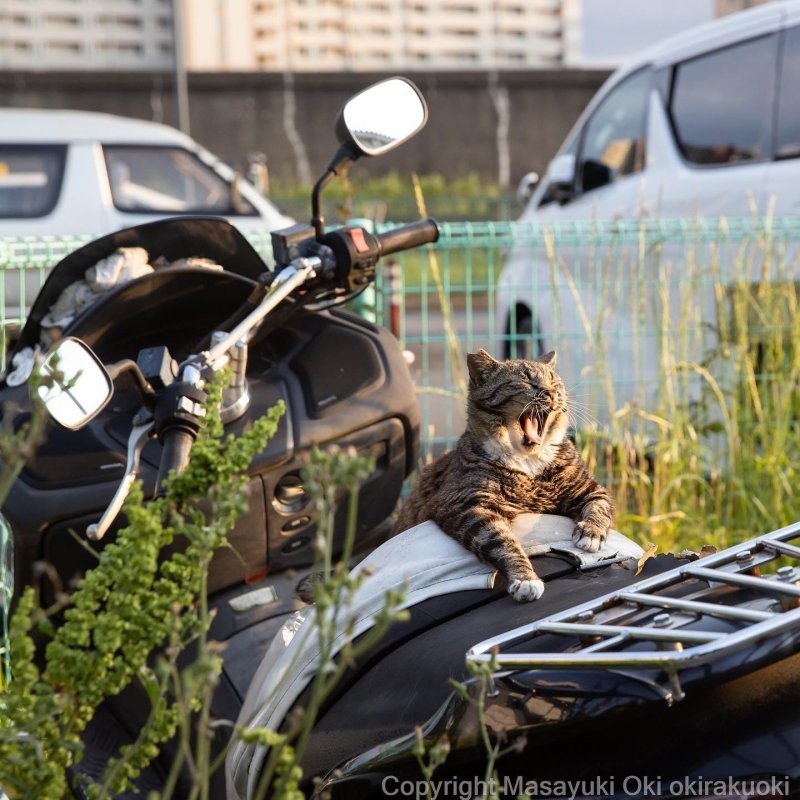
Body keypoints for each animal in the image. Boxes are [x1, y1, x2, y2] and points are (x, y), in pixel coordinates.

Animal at [396, 348, 616, 600]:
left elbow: (599, 507)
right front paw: (525, 578)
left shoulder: (588, 489)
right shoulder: (468, 505)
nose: (551, 392)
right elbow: (501, 542)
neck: (528, 461)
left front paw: (591, 533)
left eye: (554, 382)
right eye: (527, 381)